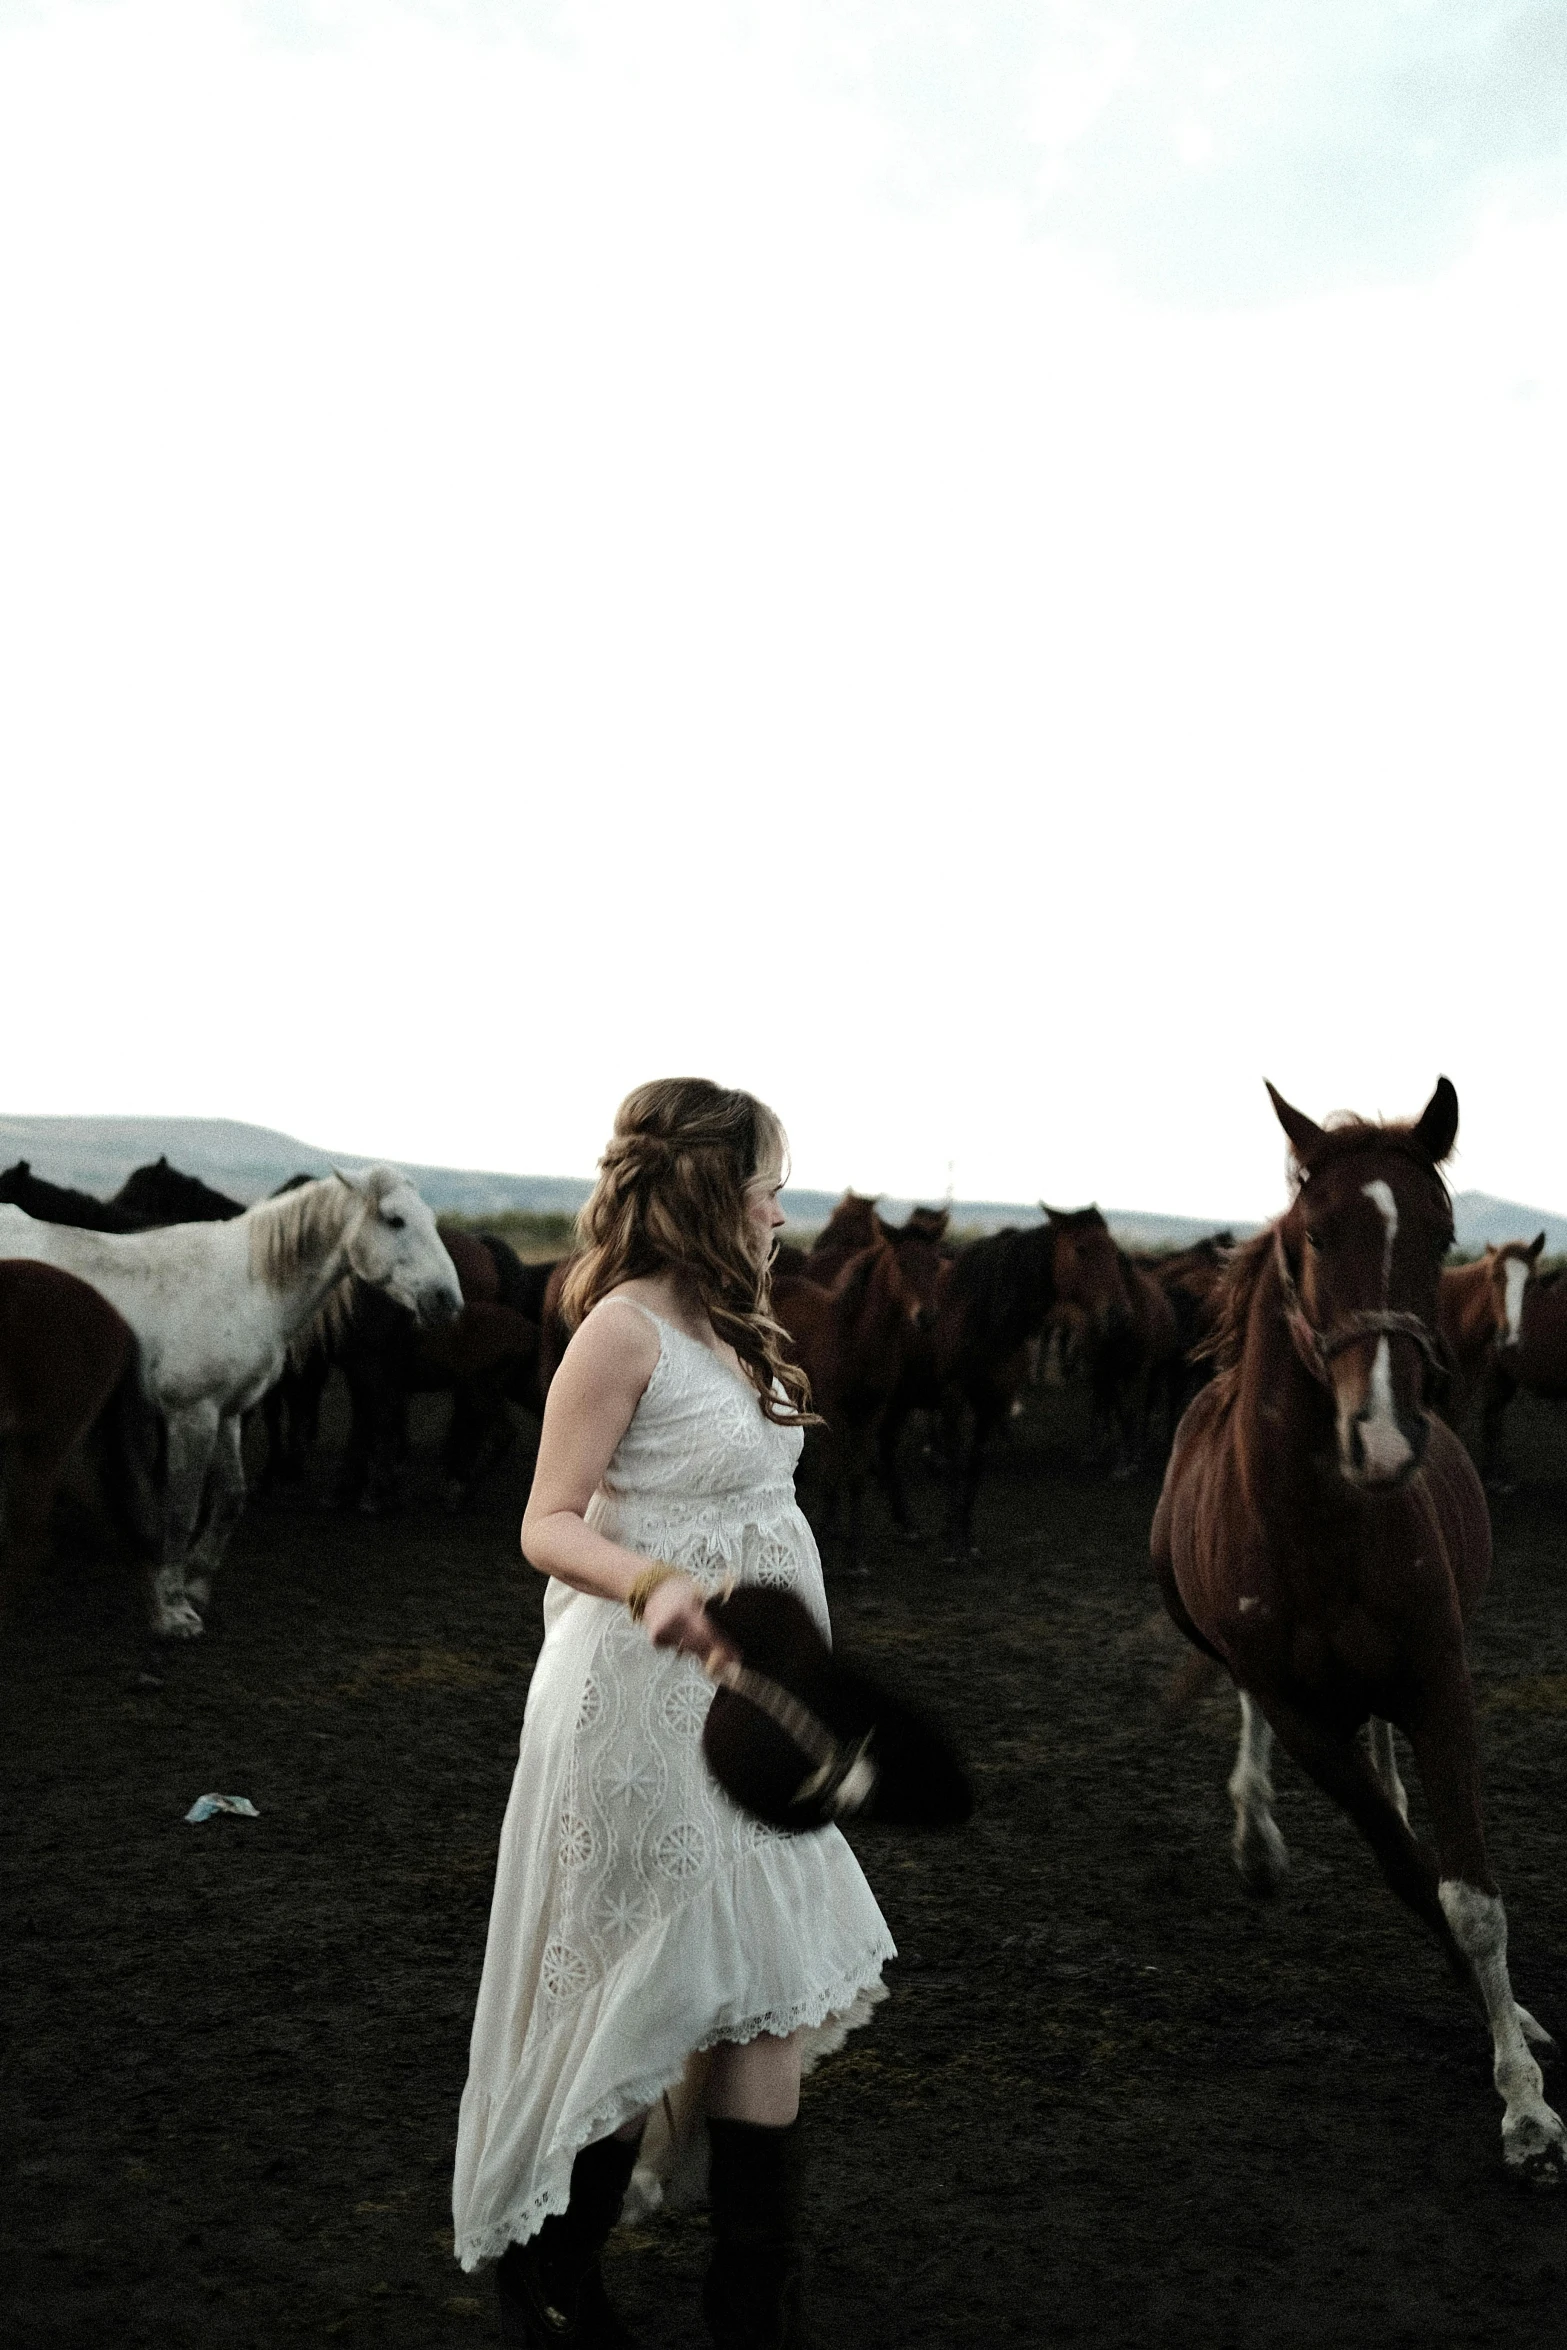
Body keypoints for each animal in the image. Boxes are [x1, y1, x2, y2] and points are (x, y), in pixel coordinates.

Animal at [0, 1160, 462, 1635]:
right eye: (394, 1220)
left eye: (430, 1218)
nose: (447, 1300)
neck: (246, 1287)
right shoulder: (192, 1414)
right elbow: (181, 1509)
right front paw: (173, 1610)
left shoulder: (228, 1414)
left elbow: (230, 1499)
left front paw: (197, 1584)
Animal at [1151, 1081, 1567, 2180]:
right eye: (1312, 1234)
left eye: (1442, 1232)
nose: (1381, 1434)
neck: (1320, 1527)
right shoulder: (1300, 1715)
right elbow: (1406, 1871)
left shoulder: (1437, 1679)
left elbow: (1471, 1897)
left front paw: (1525, 2102)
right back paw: (1256, 1836)